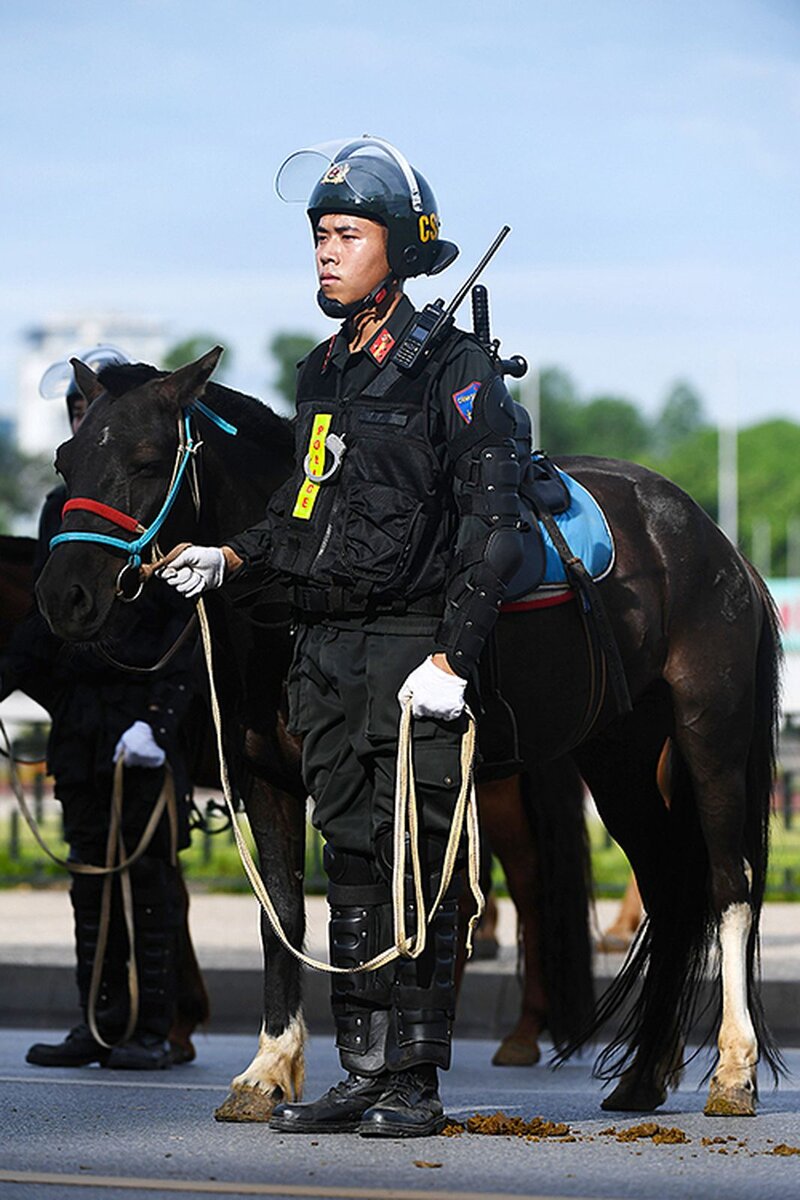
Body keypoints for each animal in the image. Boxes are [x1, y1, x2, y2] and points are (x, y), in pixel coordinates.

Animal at [37, 350, 782, 1118]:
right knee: (668, 892)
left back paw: (732, 1069)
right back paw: (643, 1075)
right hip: (621, 762)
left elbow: (407, 914)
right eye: (65, 460)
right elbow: (285, 916)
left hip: (709, 744)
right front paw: (270, 1067)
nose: (64, 596)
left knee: (727, 885)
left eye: (148, 460)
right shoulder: (267, 780)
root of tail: (713, 539)